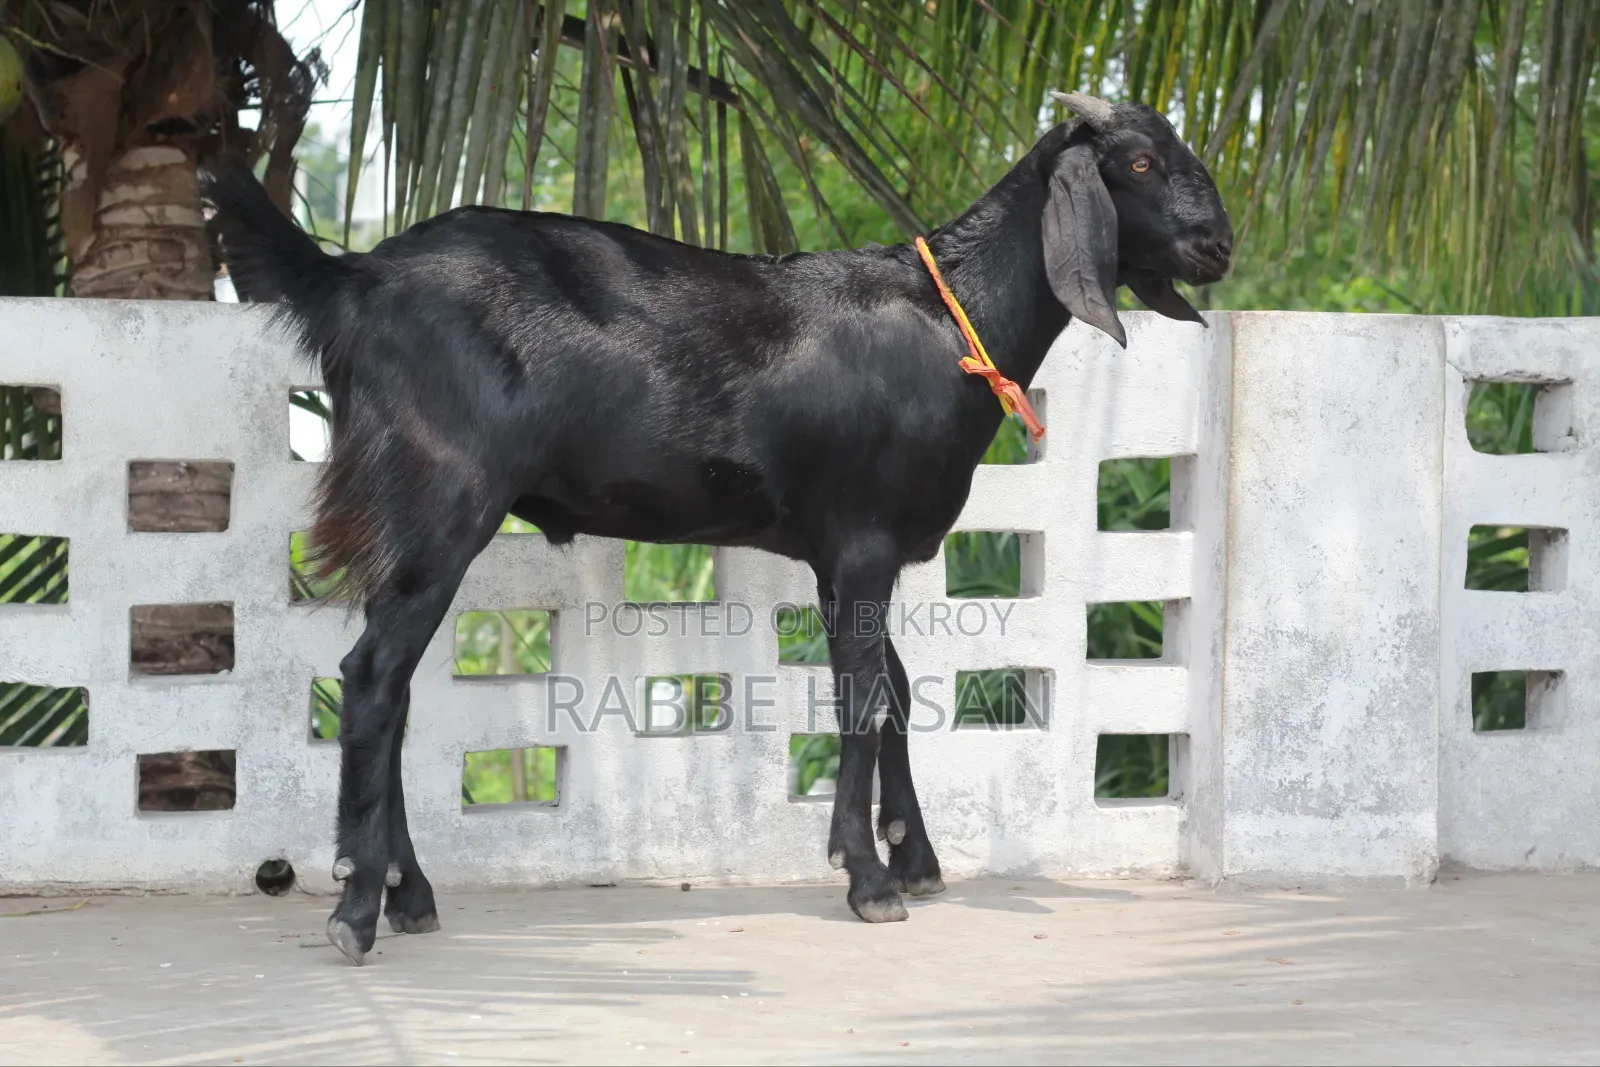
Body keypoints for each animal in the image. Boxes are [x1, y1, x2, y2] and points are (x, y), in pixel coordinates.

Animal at [202, 90, 1232, 966]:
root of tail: (357, 278)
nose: (1219, 244)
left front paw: (914, 855)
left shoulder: (843, 552)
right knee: (374, 678)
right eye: (1141, 161)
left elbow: (895, 689)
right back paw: (356, 908)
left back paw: (410, 895)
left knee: (395, 688)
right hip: (438, 497)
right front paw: (868, 879)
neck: (951, 320)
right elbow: (864, 699)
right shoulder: (863, 539)